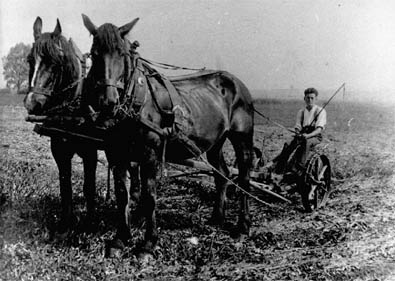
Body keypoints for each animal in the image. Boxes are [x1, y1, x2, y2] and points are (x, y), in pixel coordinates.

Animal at [23, 17, 98, 232]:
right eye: (30, 60)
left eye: (55, 63)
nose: (32, 103)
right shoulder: (59, 149)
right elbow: (65, 184)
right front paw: (66, 222)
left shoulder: (90, 151)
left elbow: (89, 186)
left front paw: (90, 222)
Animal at [82, 13, 255, 258]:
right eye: (94, 54)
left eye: (122, 54)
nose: (108, 101)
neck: (137, 101)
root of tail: (236, 82)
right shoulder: (116, 154)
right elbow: (122, 195)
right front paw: (120, 239)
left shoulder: (150, 155)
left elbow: (149, 197)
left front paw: (148, 244)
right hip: (216, 142)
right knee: (221, 174)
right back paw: (217, 218)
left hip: (242, 138)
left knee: (244, 178)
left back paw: (243, 226)